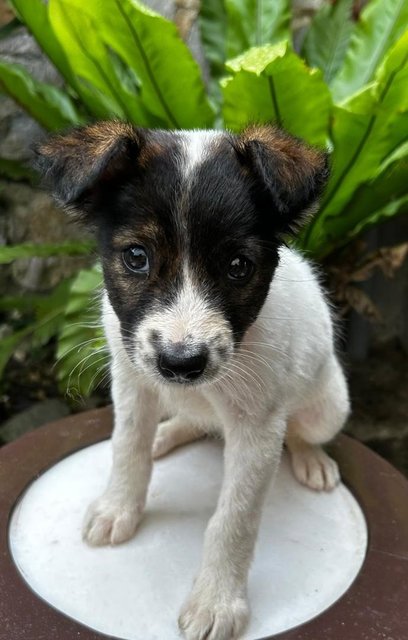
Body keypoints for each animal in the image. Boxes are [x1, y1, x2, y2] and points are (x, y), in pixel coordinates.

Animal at [36, 124, 350, 640]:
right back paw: (166, 434)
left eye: (239, 266)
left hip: (328, 406)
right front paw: (118, 508)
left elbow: (234, 520)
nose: (181, 364)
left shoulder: (258, 428)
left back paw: (311, 459)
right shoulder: (132, 380)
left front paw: (216, 601)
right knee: (193, 422)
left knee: (303, 433)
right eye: (137, 257)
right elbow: (128, 448)